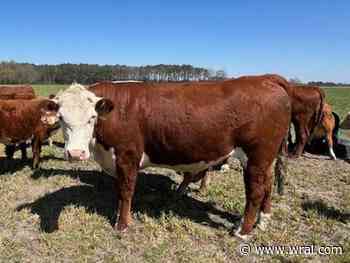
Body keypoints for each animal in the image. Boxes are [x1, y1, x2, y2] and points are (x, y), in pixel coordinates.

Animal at [52, 79, 292, 240]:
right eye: (61, 118)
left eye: (92, 117)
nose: (75, 154)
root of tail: (265, 79)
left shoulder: (127, 156)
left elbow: (125, 191)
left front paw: (122, 224)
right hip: (264, 159)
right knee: (267, 184)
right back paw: (263, 221)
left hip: (257, 156)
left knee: (255, 191)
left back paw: (243, 231)